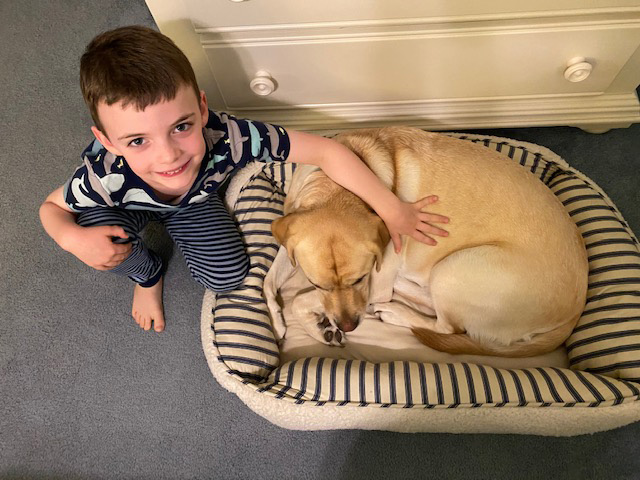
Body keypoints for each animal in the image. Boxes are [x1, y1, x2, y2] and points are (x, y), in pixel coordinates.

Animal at [264, 127, 588, 357]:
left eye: (360, 278)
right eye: (316, 283)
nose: (349, 326)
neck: (337, 188)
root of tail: (575, 310)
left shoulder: (373, 285)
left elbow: (298, 300)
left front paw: (316, 326)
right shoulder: (290, 237)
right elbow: (269, 281)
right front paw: (283, 322)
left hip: (453, 269)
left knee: (448, 326)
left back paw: (395, 312)